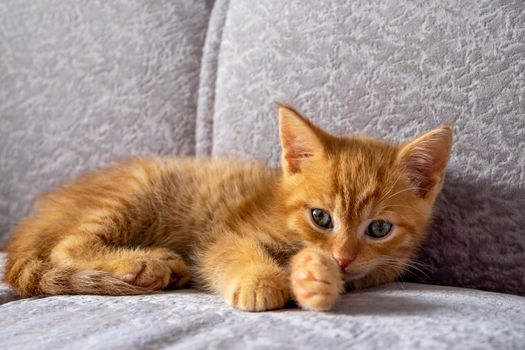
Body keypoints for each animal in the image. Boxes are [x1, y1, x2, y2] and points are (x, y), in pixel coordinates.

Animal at [3, 106, 450, 312]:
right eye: (320, 217)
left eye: (379, 229)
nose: (342, 257)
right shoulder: (226, 233)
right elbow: (231, 251)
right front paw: (261, 279)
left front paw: (316, 280)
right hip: (139, 187)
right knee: (66, 248)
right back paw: (146, 263)